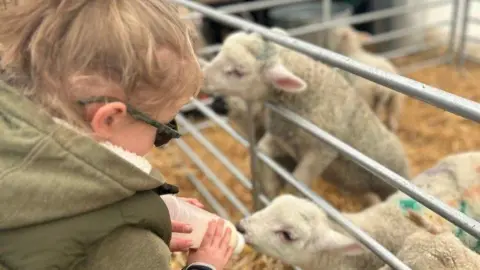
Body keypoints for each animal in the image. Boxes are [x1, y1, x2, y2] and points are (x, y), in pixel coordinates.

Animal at [201, 27, 410, 202]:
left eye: (238, 71)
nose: (201, 75)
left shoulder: (321, 153)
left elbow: (296, 182)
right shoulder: (282, 139)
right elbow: (262, 150)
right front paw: (270, 188)